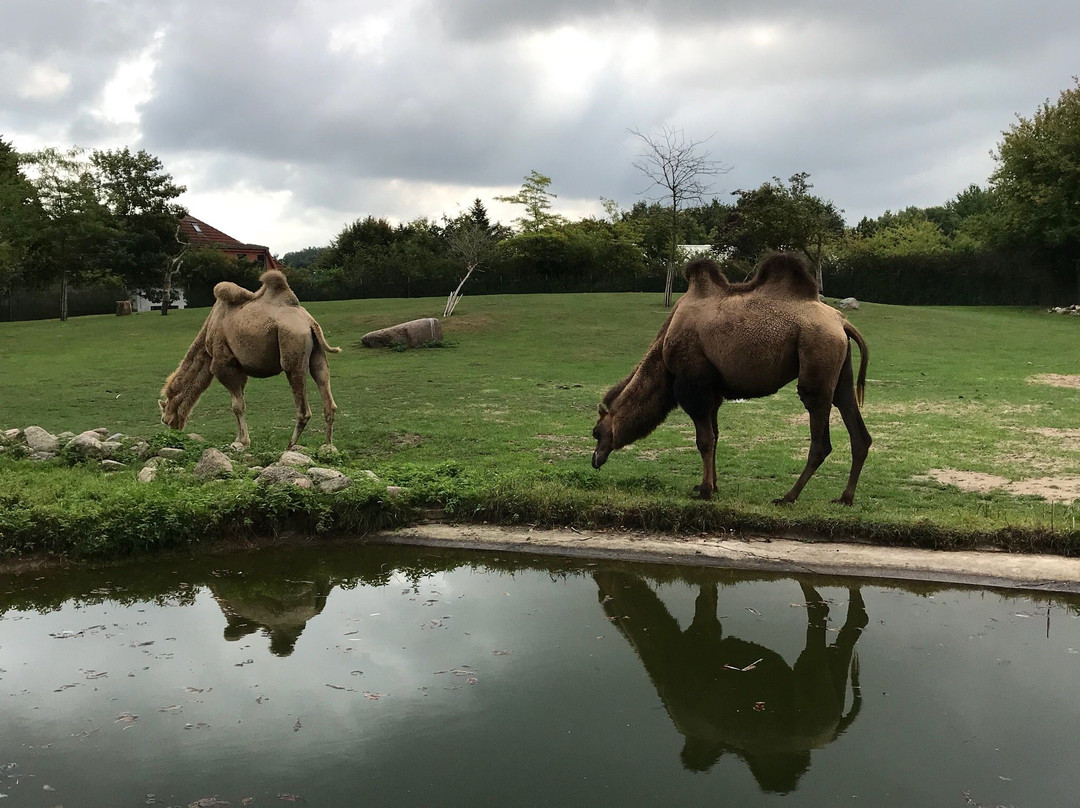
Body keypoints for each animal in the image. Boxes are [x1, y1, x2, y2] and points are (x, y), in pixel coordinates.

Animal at [157, 270, 336, 447]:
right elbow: (239, 401)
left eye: (166, 420)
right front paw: (238, 440)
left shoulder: (223, 364)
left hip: (292, 346)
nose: (173, 434)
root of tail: (309, 323)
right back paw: (328, 445)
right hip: (317, 353)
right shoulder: (239, 369)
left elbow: (237, 406)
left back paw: (290, 446)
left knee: (303, 408)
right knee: (327, 394)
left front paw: (243, 442)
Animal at [591, 252, 868, 505]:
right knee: (856, 426)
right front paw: (712, 486)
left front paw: (704, 491)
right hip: (840, 368)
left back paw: (788, 497)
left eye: (596, 432)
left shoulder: (695, 387)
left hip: (817, 353)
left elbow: (704, 441)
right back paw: (845, 498)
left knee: (820, 436)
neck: (664, 349)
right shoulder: (713, 391)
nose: (595, 460)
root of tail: (843, 323)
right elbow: (715, 436)